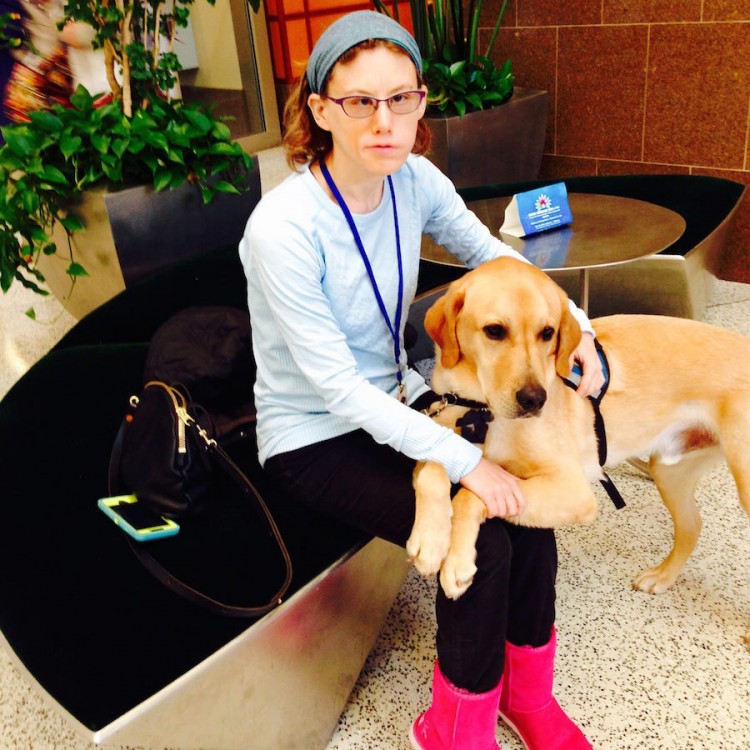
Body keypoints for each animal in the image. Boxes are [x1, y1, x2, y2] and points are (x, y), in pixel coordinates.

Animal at [412, 258, 750, 648]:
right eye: (494, 331)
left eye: (547, 332)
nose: (535, 400)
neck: (481, 411)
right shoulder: (443, 441)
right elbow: (432, 470)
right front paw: (429, 540)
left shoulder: (573, 491)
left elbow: (470, 495)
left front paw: (457, 562)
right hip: (669, 470)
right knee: (692, 526)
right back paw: (662, 577)